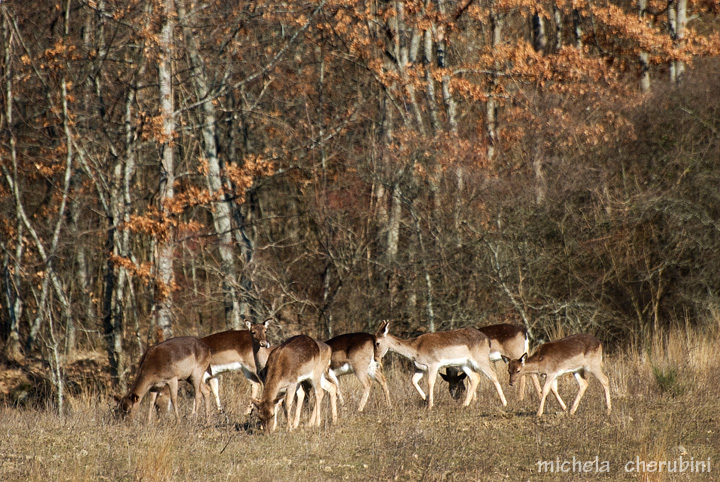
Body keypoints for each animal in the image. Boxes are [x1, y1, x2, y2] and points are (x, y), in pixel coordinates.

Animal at [374, 322, 510, 408]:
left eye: (377, 342)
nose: (375, 358)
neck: (415, 348)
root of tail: (487, 340)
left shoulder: (433, 365)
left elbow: (430, 382)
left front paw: (430, 405)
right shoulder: (420, 368)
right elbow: (413, 380)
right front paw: (425, 398)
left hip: (481, 360)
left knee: (493, 375)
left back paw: (504, 403)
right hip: (465, 364)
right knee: (475, 377)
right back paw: (464, 404)